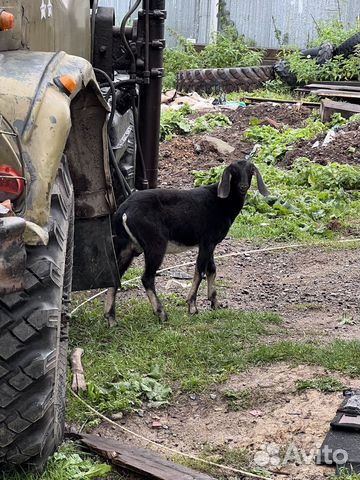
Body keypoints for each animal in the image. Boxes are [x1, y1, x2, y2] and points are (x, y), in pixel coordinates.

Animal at [104, 159, 268, 324]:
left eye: (251, 171)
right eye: (233, 172)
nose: (243, 186)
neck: (221, 203)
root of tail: (124, 211)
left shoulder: (210, 243)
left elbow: (212, 269)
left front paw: (215, 303)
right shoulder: (207, 241)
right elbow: (200, 271)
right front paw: (192, 307)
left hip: (127, 246)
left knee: (116, 275)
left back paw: (111, 318)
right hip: (155, 244)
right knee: (147, 278)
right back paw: (161, 313)